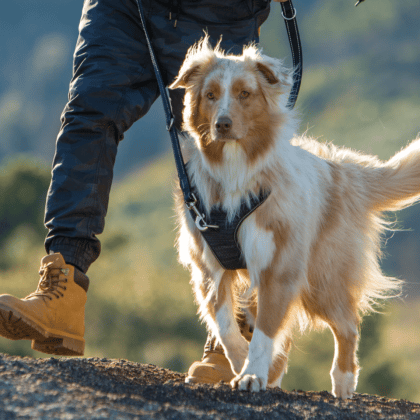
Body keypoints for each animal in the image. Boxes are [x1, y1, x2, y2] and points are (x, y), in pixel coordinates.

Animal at [169, 38, 418, 400]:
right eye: (211, 95)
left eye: (245, 93)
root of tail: (344, 169)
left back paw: (343, 380)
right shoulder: (209, 268)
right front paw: (244, 364)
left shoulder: (279, 267)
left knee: (348, 324)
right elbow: (227, 328)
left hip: (322, 277)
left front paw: (252, 373)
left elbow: (264, 333)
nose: (222, 125)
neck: (235, 170)